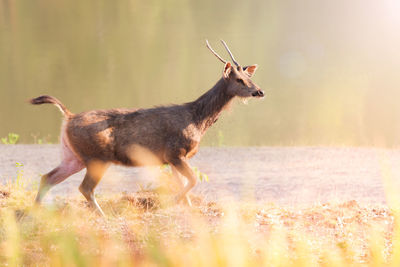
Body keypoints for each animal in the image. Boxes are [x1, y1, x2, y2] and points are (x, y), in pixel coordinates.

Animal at [30, 40, 262, 217]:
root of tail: (68, 116)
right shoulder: (175, 152)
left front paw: (187, 208)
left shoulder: (171, 158)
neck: (198, 120)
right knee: (84, 187)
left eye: (250, 77)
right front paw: (169, 204)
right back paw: (102, 215)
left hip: (73, 156)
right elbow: (192, 180)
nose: (259, 91)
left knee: (47, 177)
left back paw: (35, 211)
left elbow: (183, 183)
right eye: (239, 80)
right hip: (97, 157)